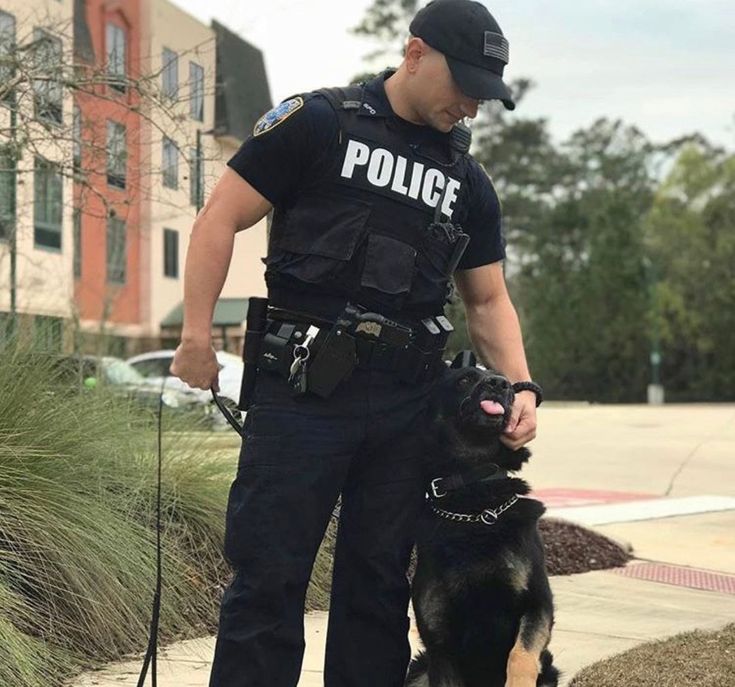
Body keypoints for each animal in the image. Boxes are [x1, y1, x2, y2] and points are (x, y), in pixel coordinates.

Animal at [408, 354, 556, 687]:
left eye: (508, 384)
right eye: (464, 379)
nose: (500, 385)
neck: (473, 499)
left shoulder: (537, 604)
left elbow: (521, 655)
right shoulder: (440, 644)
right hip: (419, 670)